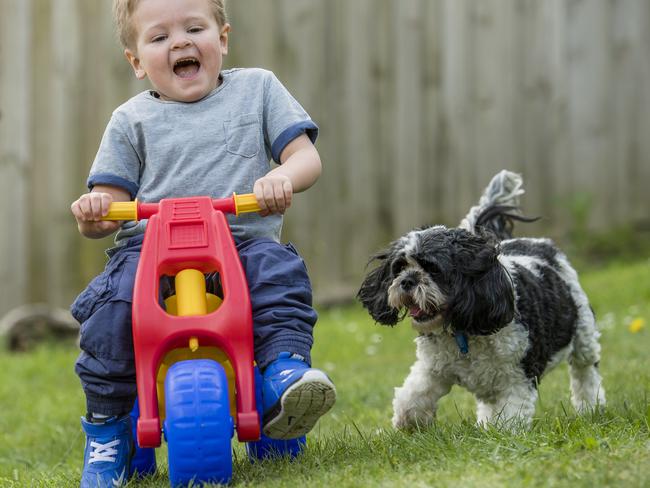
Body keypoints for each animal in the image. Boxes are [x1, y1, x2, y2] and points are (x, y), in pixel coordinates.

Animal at [354, 170, 604, 428]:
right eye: (400, 267)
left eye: (433, 269)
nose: (407, 281)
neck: (462, 330)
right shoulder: (433, 368)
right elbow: (413, 394)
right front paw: (407, 420)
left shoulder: (518, 376)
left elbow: (511, 415)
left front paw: (503, 432)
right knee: (487, 401)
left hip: (583, 334)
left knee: (585, 371)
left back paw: (590, 408)